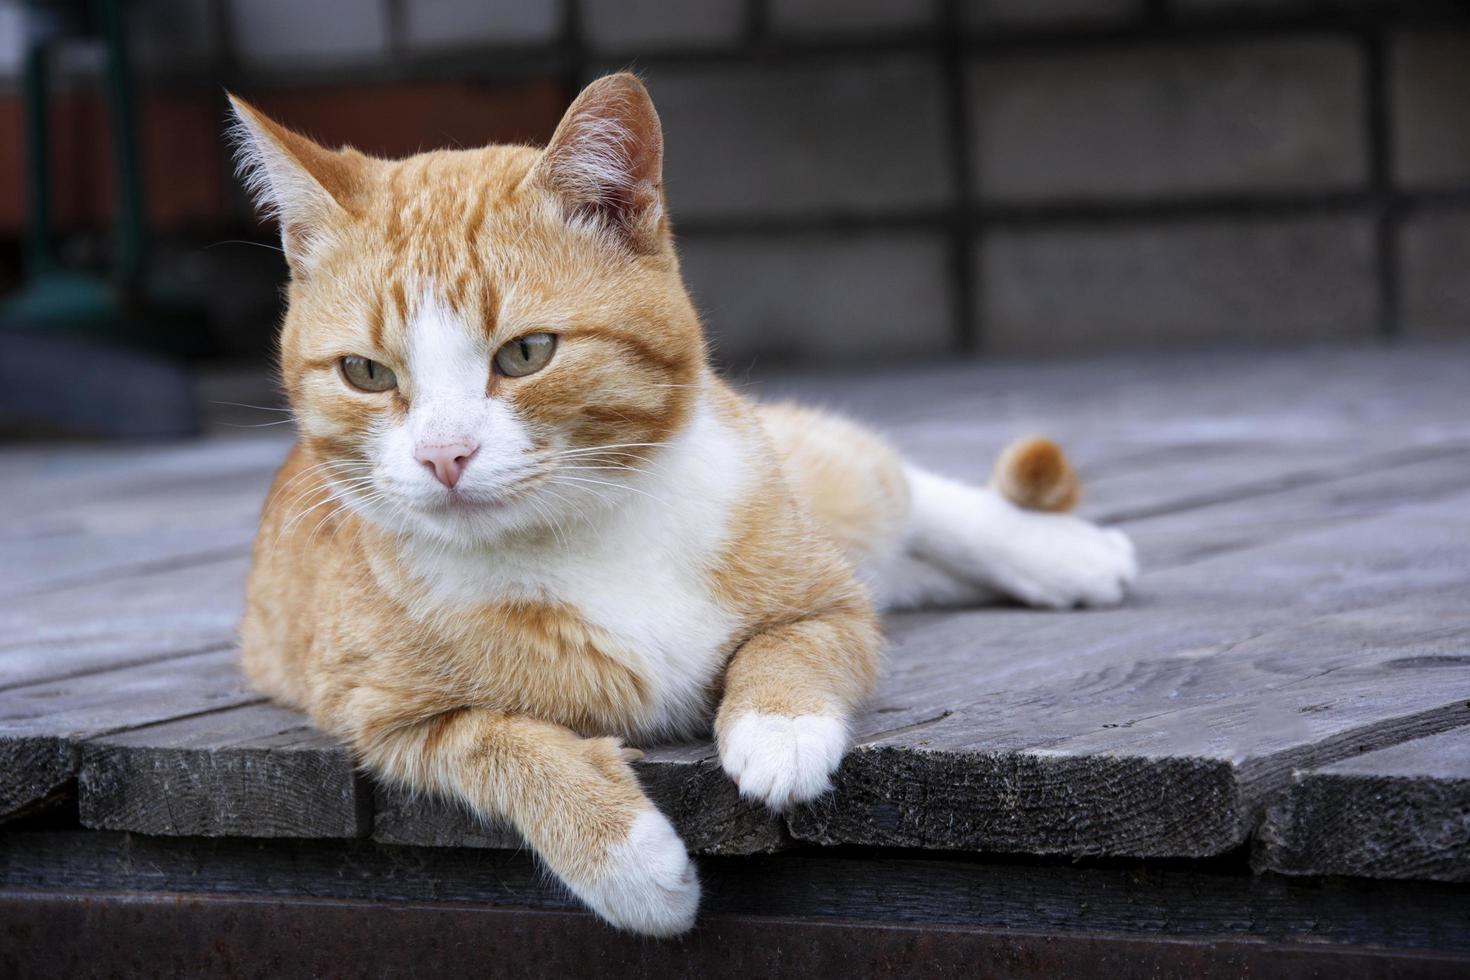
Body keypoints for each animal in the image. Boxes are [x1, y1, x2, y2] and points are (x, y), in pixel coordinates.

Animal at [235, 74, 1140, 934]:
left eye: (527, 353)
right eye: (366, 373)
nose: (442, 454)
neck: (581, 531)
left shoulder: (831, 604)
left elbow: (788, 646)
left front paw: (779, 731)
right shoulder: (383, 722)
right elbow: (505, 745)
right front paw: (626, 860)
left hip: (821, 496)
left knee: (904, 493)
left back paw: (1065, 554)